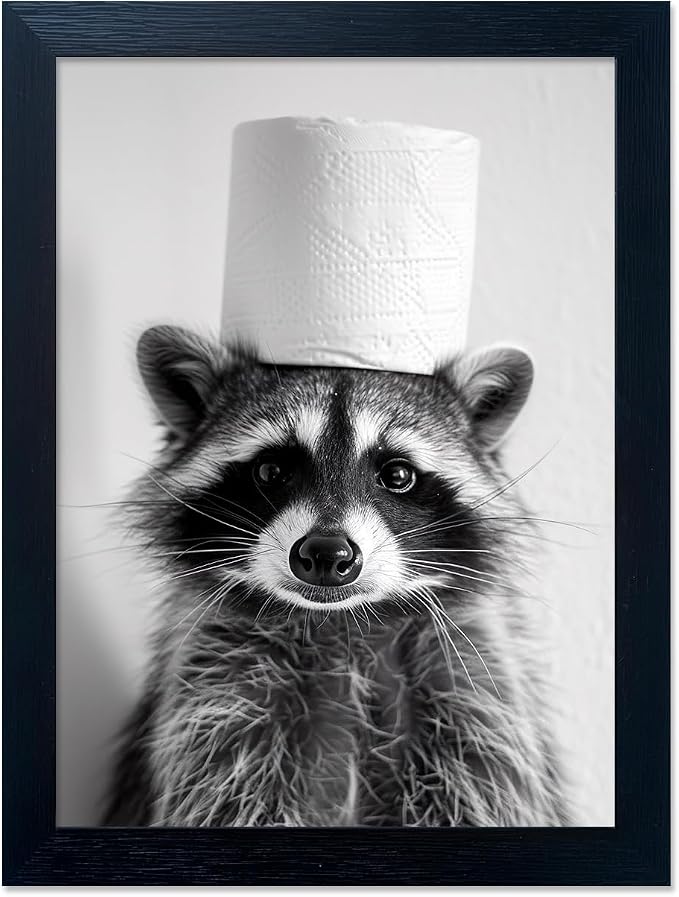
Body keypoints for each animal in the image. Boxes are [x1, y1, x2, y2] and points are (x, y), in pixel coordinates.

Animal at [103, 325, 567, 827]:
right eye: (271, 469)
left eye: (397, 474)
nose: (326, 553)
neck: (344, 623)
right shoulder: (218, 688)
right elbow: (230, 798)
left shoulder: (475, 683)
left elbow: (475, 793)